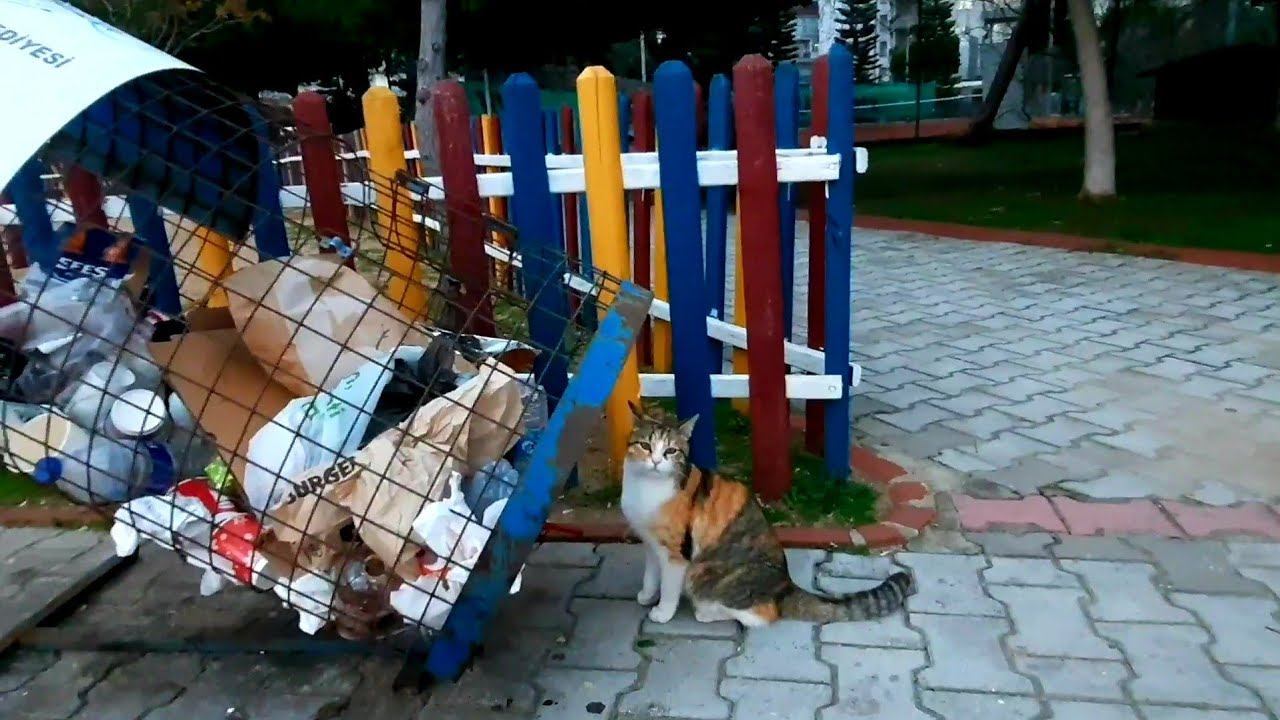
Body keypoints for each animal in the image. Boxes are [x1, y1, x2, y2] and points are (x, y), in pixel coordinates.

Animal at [620, 402, 914, 626]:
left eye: (671, 450)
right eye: (645, 446)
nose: (656, 461)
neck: (645, 488)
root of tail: (784, 585)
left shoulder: (675, 553)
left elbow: (669, 586)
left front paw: (662, 612)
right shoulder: (650, 543)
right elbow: (651, 574)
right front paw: (647, 595)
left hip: (705, 573)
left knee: (762, 614)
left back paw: (707, 612)